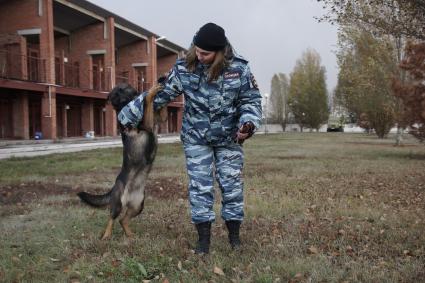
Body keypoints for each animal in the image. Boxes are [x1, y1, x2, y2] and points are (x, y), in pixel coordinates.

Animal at [77, 82, 161, 240]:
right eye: (115, 95)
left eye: (123, 89)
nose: (120, 101)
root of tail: (114, 187)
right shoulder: (146, 124)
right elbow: (147, 102)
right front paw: (151, 92)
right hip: (118, 203)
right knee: (112, 217)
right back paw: (106, 235)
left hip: (138, 205)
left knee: (123, 220)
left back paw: (129, 234)